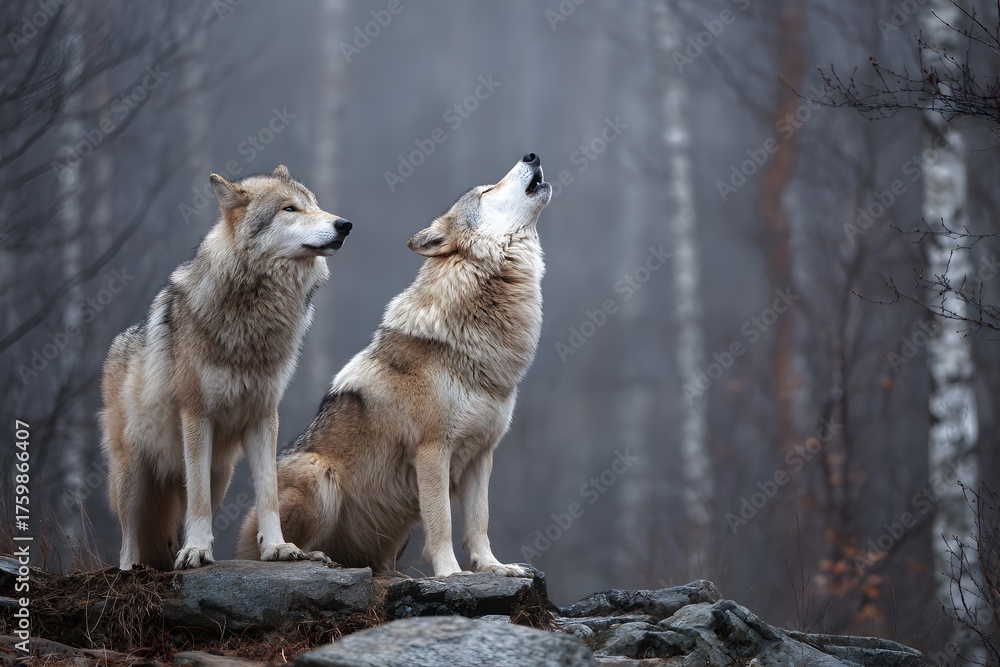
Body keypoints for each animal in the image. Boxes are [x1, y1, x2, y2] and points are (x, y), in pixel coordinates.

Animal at [101, 165, 352, 570]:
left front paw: (277, 547)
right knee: (130, 534)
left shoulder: (264, 415)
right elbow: (198, 501)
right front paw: (196, 551)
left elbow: (268, 493)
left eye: (315, 204)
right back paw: (132, 568)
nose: (344, 225)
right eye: (289, 209)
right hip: (133, 475)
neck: (253, 316)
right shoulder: (196, 414)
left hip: (220, 473)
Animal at [235, 154, 552, 577]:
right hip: (319, 474)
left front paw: (493, 567)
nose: (532, 155)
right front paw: (451, 574)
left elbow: (479, 522)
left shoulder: (481, 456)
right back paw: (301, 555)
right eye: (486, 192)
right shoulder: (432, 451)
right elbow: (442, 522)